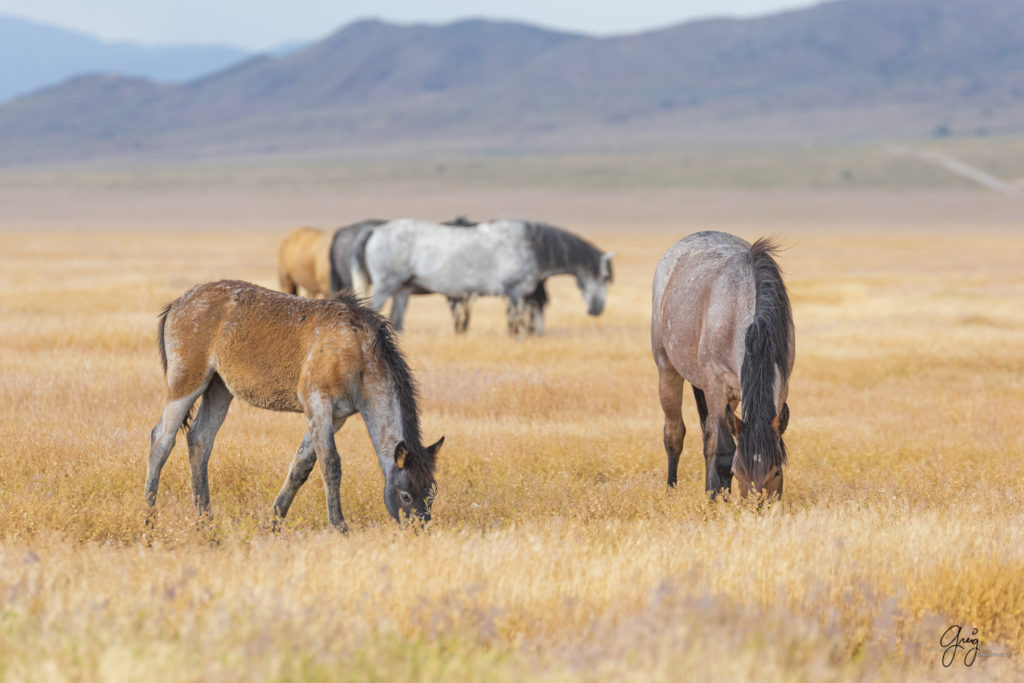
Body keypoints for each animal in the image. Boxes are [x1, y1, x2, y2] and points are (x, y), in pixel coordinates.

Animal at [145, 280, 444, 532]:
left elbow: (301, 466)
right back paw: (148, 519)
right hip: (186, 385)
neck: (356, 350)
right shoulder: (317, 405)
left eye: (432, 493)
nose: (420, 529)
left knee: (200, 440)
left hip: (219, 389)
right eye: (406, 495)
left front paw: (273, 522)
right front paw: (339, 526)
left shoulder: (336, 417)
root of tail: (178, 303)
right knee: (162, 440)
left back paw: (206, 521)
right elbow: (330, 465)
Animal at [364, 219, 610, 333]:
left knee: (396, 319)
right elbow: (514, 321)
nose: (598, 309)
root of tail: (376, 231)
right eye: (605, 277)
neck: (533, 246)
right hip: (385, 285)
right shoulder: (514, 292)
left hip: (402, 289)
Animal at [651, 232, 794, 499]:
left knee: (708, 437)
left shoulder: (780, 387)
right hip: (668, 370)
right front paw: (723, 500)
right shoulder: (715, 386)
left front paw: (717, 495)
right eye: (739, 471)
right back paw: (671, 491)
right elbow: (725, 452)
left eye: (776, 471)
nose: (759, 506)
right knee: (674, 434)